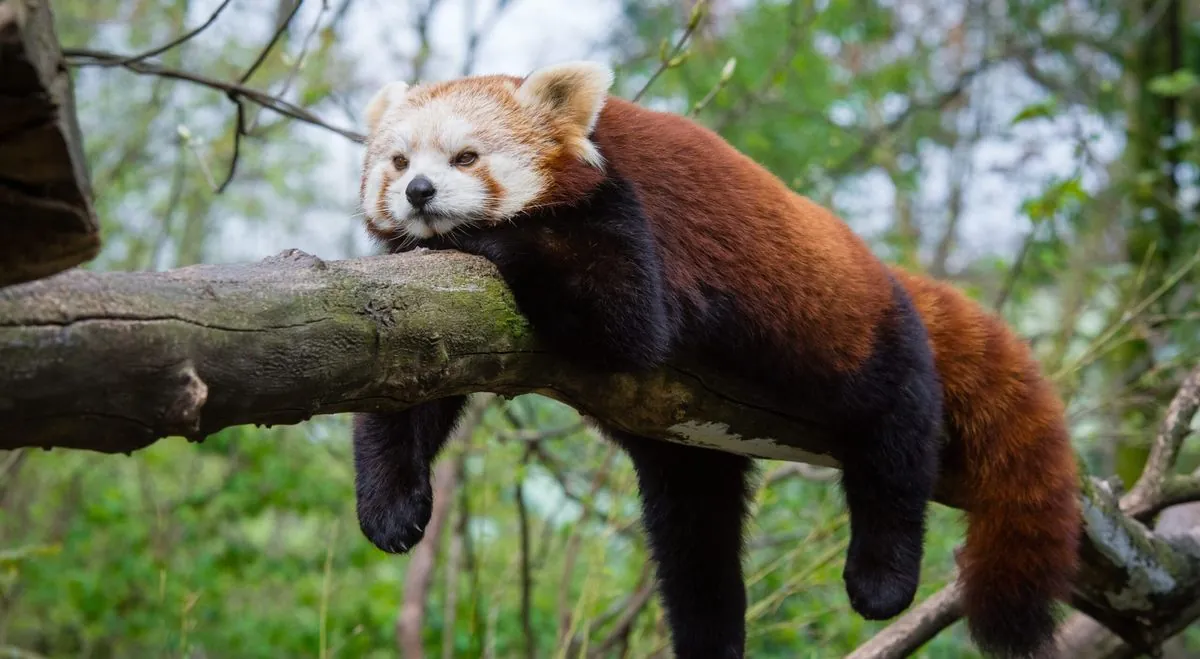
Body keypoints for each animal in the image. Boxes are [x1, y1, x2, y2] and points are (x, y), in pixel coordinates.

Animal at [350, 61, 1084, 657]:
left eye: (466, 156)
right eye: (398, 161)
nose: (419, 191)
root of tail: (889, 276)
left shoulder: (628, 214)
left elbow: (622, 319)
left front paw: (487, 234)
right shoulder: (441, 317)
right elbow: (404, 392)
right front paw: (391, 508)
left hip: (861, 339)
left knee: (895, 440)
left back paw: (882, 575)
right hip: (689, 441)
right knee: (694, 536)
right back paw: (711, 635)